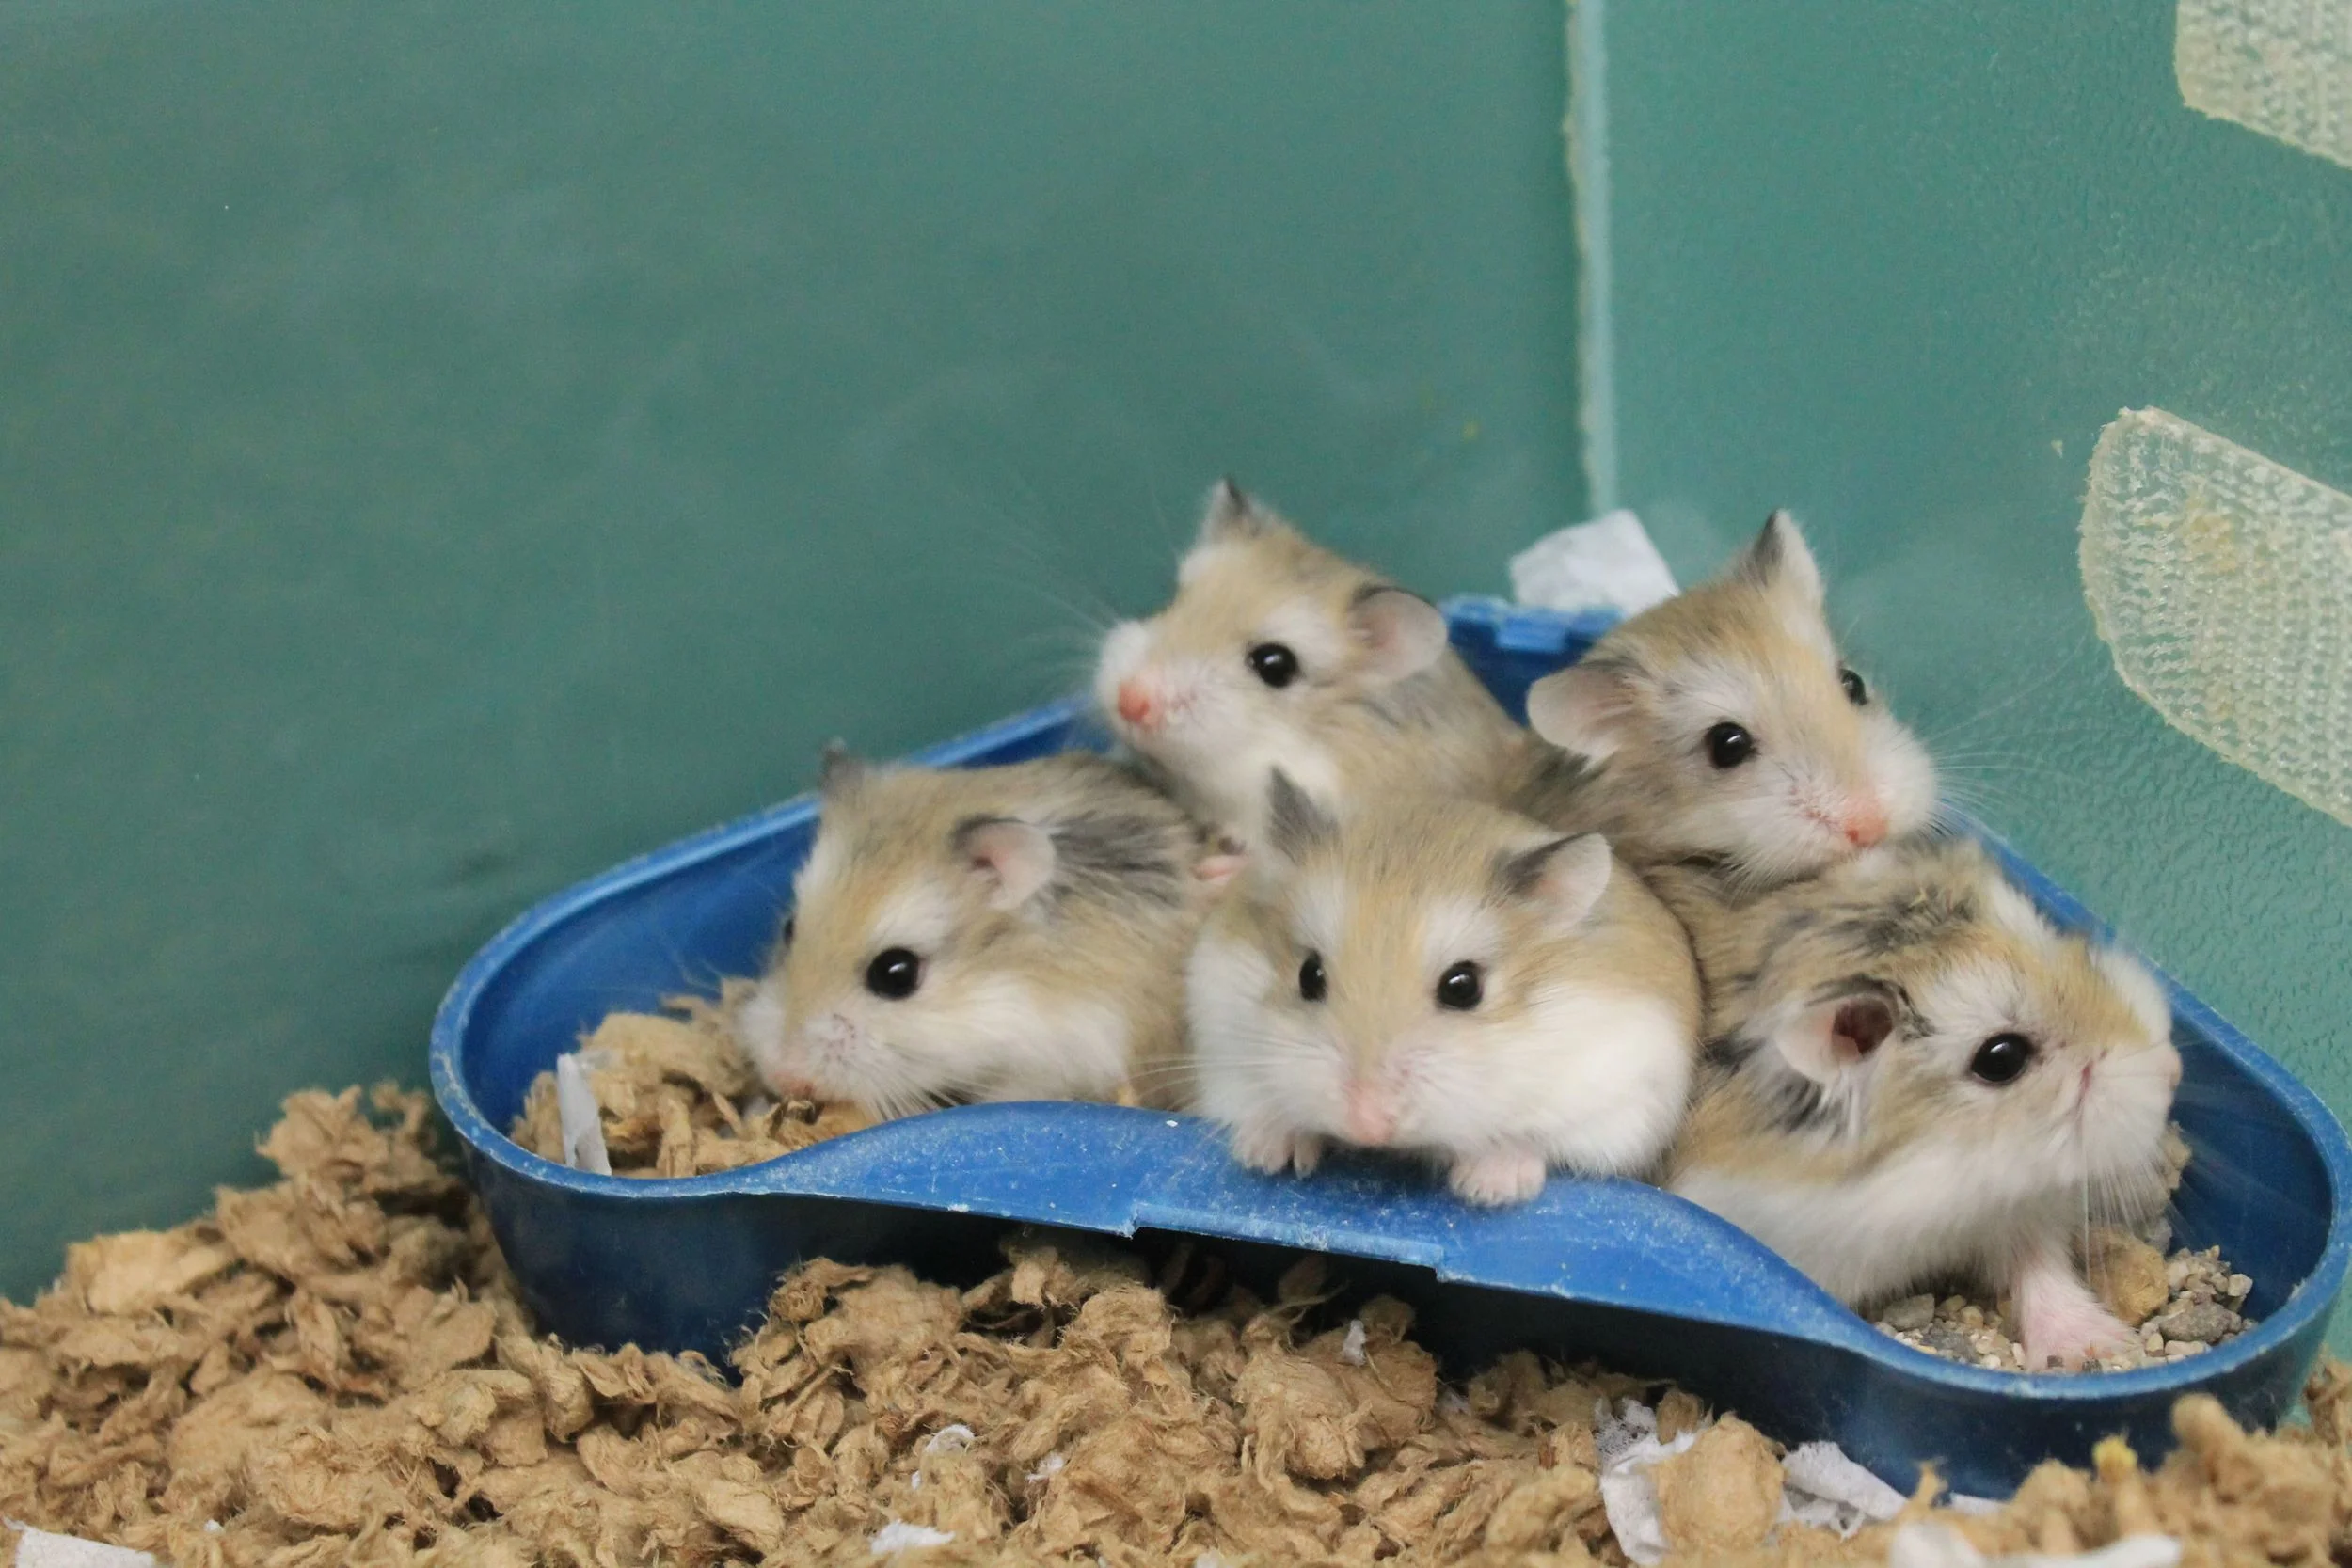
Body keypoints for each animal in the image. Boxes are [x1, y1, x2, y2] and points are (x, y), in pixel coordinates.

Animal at [1188, 772, 1702, 1205]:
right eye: (1308, 975)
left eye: (1463, 988)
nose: (1367, 1126)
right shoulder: (1223, 1049)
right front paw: (1266, 1157)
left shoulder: (1618, 1100)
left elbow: (1534, 1137)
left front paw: (1486, 1190)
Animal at [1661, 836, 2182, 1369]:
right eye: (2001, 1058)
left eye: (2052, 938)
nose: (2173, 1071)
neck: (1940, 1163)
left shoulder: (2016, 1209)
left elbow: (2038, 1263)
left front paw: (2099, 1347)